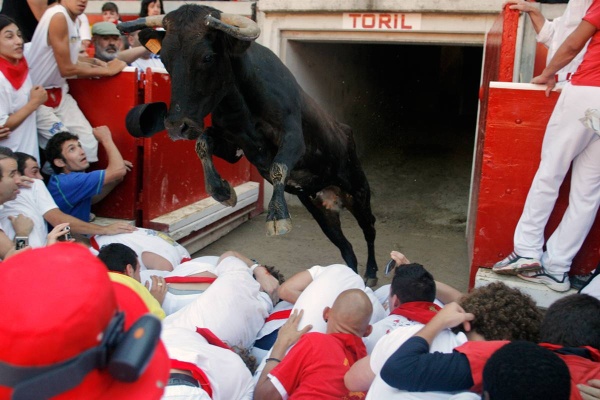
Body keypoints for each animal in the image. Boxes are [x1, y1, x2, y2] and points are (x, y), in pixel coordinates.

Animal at [118, 5, 379, 284]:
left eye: (207, 57)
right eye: (165, 58)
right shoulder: (234, 146)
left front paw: (277, 217)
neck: (240, 104)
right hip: (321, 210)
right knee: (345, 247)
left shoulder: (294, 139)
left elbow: (278, 167)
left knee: (369, 229)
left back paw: (371, 273)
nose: (178, 126)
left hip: (358, 192)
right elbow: (203, 143)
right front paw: (222, 191)